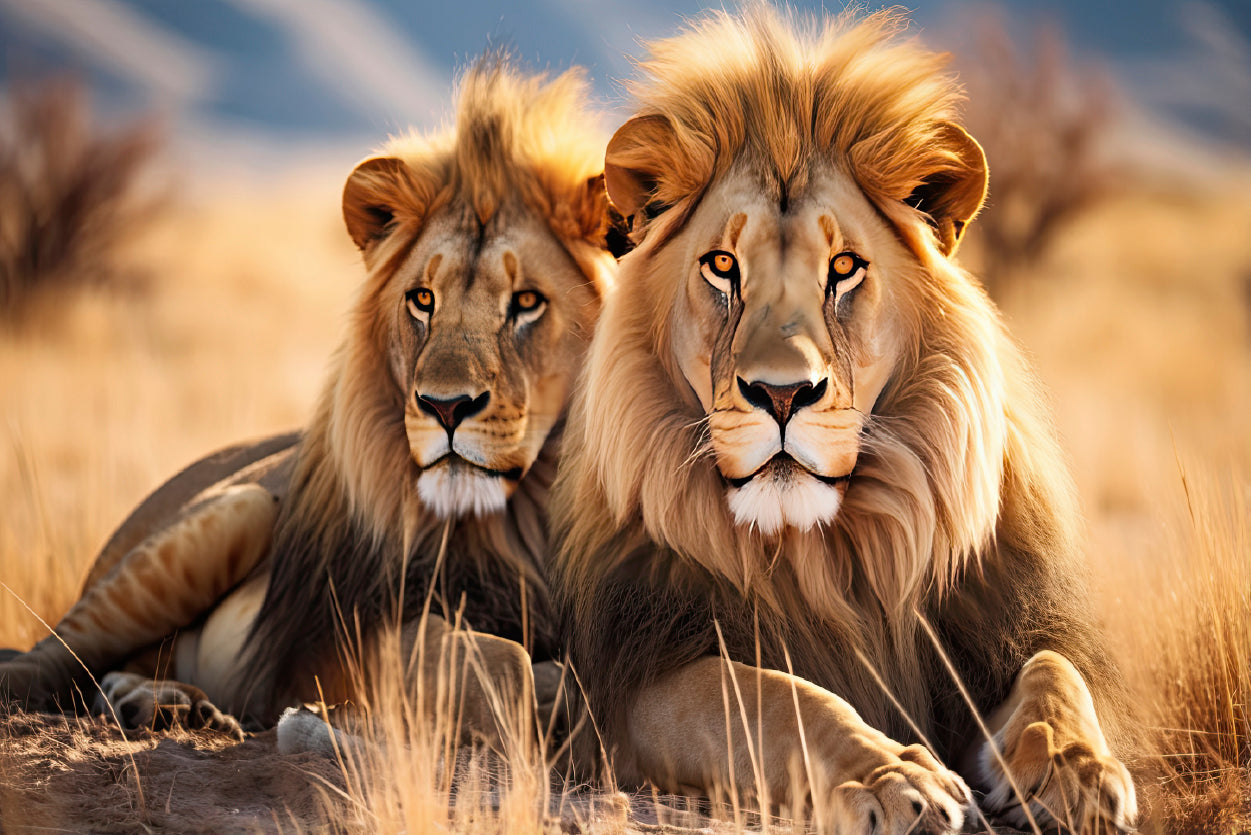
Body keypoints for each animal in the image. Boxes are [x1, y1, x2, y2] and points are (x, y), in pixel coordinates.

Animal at [0, 62, 613, 746]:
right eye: (423, 299)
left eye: (527, 302)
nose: (445, 407)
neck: (519, 521)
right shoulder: (352, 634)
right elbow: (485, 658)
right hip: (236, 510)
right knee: (52, 655)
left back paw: (163, 704)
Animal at [551, 10, 1137, 835]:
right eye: (722, 266)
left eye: (844, 268)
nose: (782, 393)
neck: (829, 552)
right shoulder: (633, 679)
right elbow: (773, 697)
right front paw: (895, 777)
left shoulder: (998, 625)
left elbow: (1055, 672)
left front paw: (1076, 768)